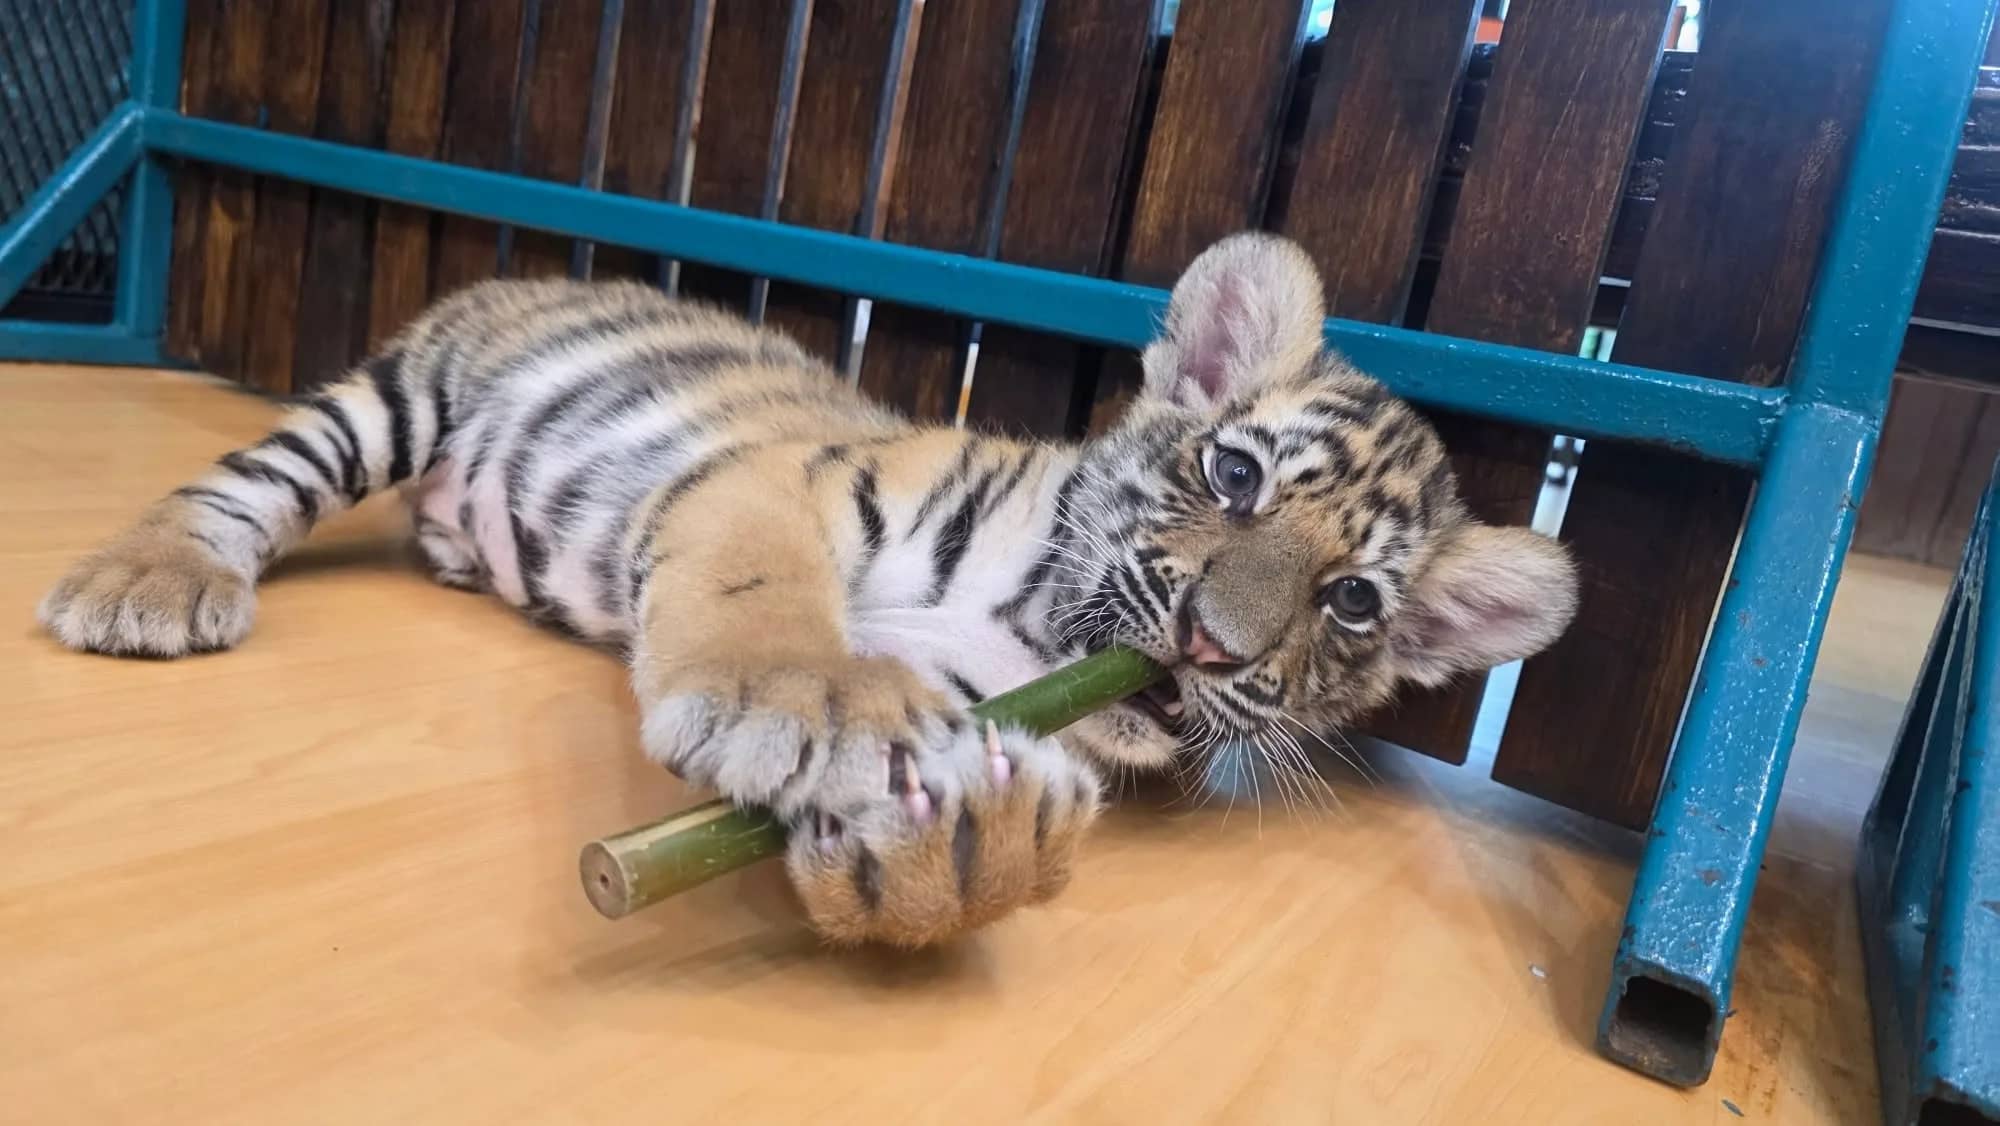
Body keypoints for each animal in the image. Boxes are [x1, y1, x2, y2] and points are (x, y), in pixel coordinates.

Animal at [37, 233, 1577, 947]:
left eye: (1354, 605)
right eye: (1237, 472)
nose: (1212, 648)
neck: (1020, 623)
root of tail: (536, 263)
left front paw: (963, 842)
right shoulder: (784, 485)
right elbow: (761, 595)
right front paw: (807, 700)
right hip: (394, 398)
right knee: (245, 484)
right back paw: (145, 585)